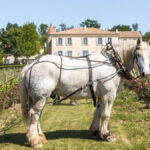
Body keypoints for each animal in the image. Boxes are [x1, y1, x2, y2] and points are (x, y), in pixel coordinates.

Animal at [19, 38, 150, 148]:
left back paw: (40, 137)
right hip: (41, 97)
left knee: (37, 116)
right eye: (138, 54)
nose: (146, 74)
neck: (113, 62)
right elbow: (106, 114)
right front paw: (107, 135)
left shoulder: (101, 96)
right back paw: (35, 141)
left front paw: (96, 131)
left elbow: (97, 113)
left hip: (37, 98)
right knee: (34, 114)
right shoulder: (109, 95)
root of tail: (31, 65)